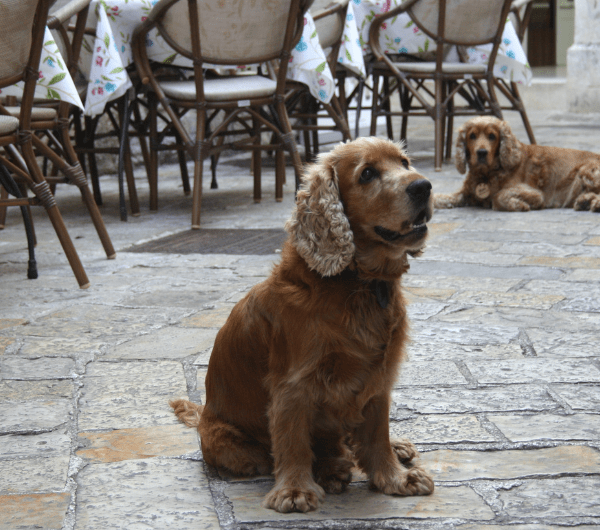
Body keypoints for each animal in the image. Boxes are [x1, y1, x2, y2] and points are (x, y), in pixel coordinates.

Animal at [171, 136, 434, 512]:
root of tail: (203, 416)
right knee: (286, 453)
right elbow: (293, 442)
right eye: (367, 173)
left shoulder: (379, 377)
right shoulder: (293, 385)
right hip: (229, 444)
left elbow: (376, 435)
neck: (356, 284)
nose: (423, 186)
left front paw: (394, 476)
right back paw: (331, 470)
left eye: (404, 163)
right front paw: (295, 491)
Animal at [434, 116, 600, 211]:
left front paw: (521, 205)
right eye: (472, 136)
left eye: (492, 136)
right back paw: (585, 201)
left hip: (587, 170)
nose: (481, 152)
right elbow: (440, 197)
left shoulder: (533, 192)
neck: (487, 174)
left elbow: (498, 196)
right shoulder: (465, 193)